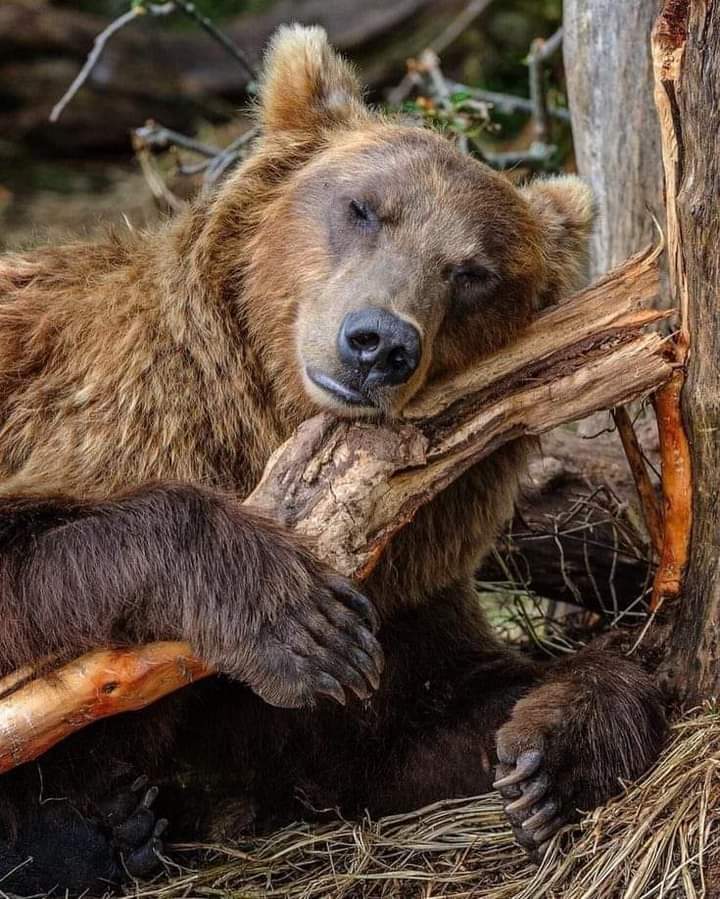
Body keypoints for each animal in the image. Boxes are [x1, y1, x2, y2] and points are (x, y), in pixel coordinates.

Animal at [0, 25, 666, 896]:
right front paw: (300, 623)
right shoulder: (89, 416)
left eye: (473, 271)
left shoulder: (408, 570)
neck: (271, 425)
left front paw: (551, 754)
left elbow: (420, 715)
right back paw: (94, 829)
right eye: (362, 208)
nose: (378, 342)